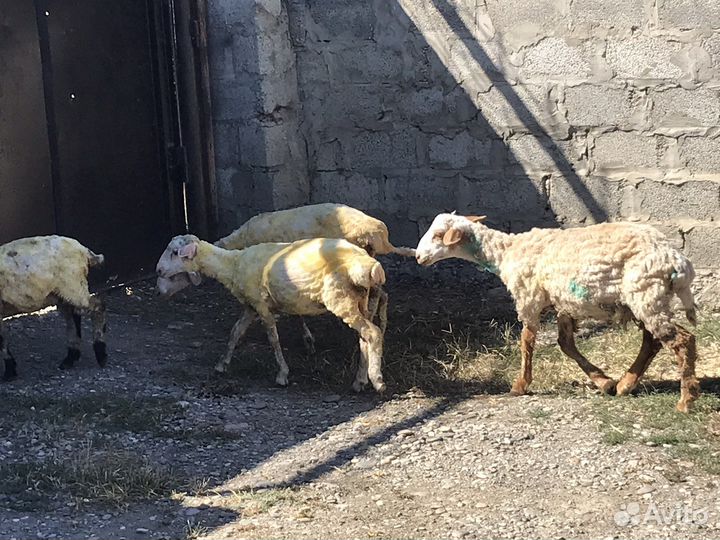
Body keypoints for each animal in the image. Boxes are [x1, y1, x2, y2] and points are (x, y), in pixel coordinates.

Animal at [0, 235, 107, 380]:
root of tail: (84, 250)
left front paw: (9, 372)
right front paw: (11, 369)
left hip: (74, 286)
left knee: (97, 307)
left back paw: (101, 354)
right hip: (62, 294)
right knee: (73, 319)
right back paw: (70, 358)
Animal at [156, 235, 388, 392]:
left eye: (175, 252)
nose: (158, 270)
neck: (232, 265)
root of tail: (370, 265)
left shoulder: (261, 306)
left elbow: (273, 339)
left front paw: (282, 374)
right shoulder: (250, 306)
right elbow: (235, 333)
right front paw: (222, 364)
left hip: (340, 299)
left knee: (373, 333)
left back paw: (377, 379)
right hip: (359, 301)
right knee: (364, 338)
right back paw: (359, 380)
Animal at [415, 213, 700, 413]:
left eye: (439, 235)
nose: (418, 257)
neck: (506, 252)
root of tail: (677, 262)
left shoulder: (528, 298)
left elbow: (527, 342)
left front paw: (521, 385)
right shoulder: (563, 303)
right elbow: (566, 344)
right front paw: (603, 381)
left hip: (646, 295)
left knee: (681, 340)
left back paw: (686, 401)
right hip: (642, 300)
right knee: (653, 341)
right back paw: (625, 385)